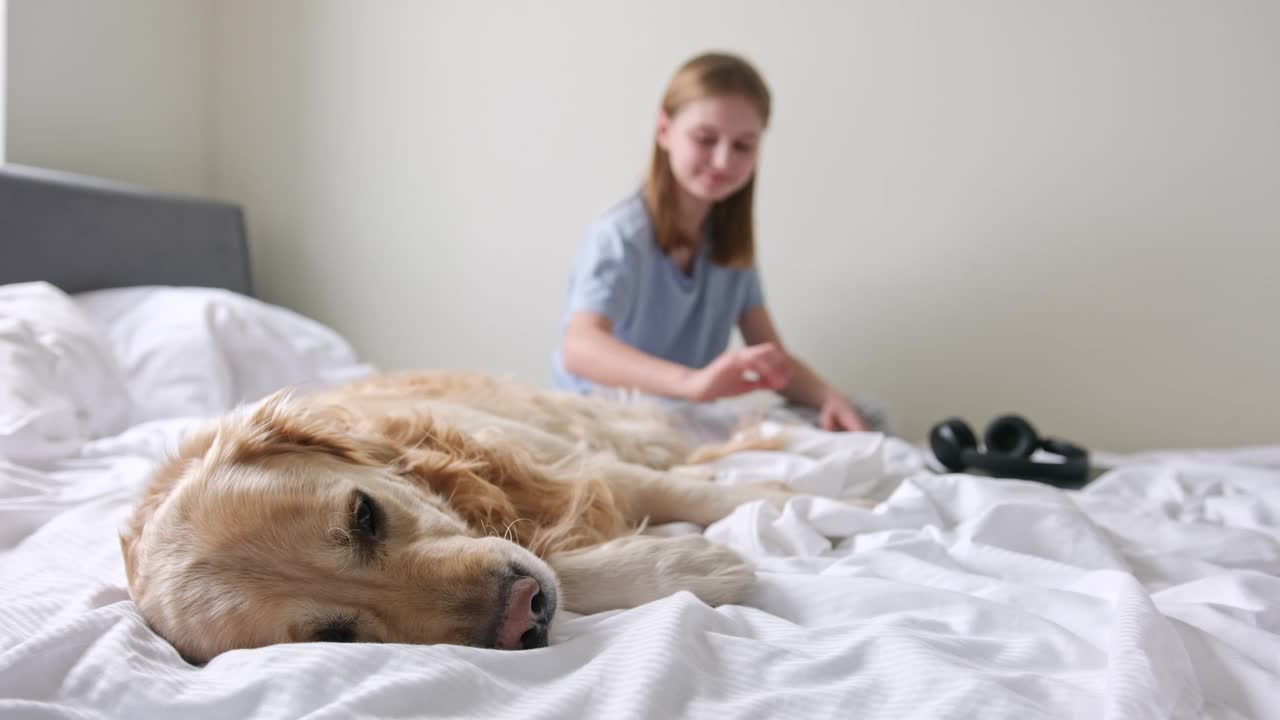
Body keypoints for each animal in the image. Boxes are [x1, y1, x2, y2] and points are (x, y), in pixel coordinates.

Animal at [120, 371, 808, 661]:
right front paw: (695, 562)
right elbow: (569, 567)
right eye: (336, 637)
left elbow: (675, 492)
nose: (523, 612)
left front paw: (791, 497)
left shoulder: (566, 460)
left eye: (363, 515)